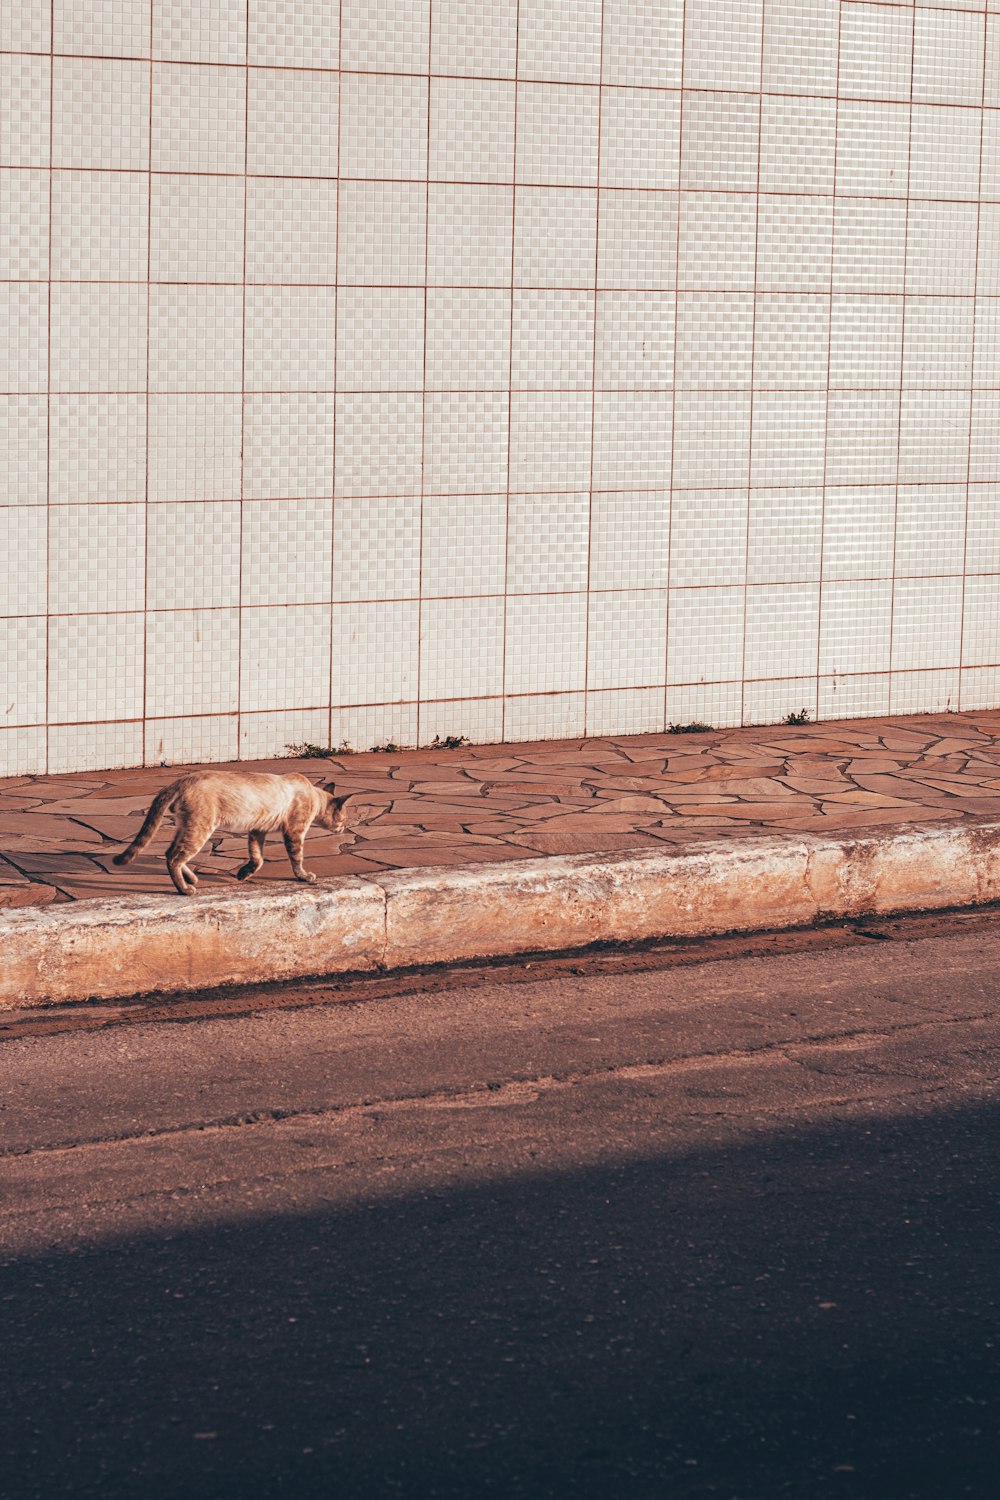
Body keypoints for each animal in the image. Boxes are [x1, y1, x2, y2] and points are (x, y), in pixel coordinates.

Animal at [113, 768, 352, 894]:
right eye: (345, 817)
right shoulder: (294, 832)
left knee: (170, 854)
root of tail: (182, 780)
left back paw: (192, 879)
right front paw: (304, 876)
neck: (313, 795)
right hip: (200, 830)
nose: (345, 827)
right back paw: (185, 889)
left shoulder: (257, 830)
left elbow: (257, 858)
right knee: (174, 857)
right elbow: (297, 859)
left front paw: (243, 874)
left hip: (187, 827)